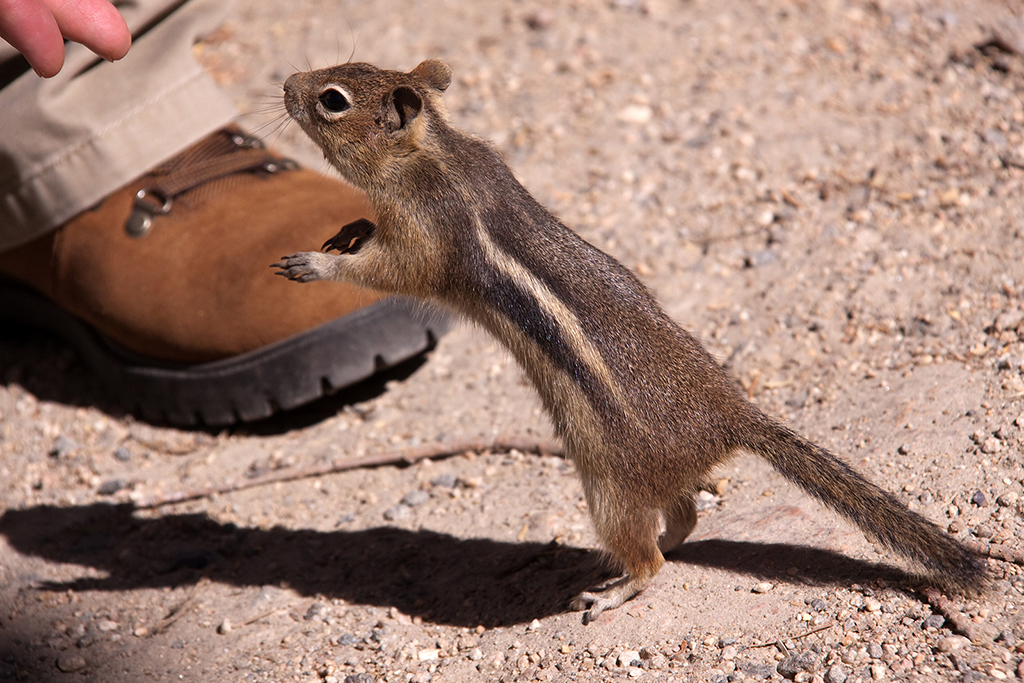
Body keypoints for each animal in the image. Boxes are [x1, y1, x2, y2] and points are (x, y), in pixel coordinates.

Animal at [274, 60, 983, 626]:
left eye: (332, 98)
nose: (286, 83)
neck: (432, 153)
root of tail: (733, 415)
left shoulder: (426, 235)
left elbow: (389, 273)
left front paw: (319, 263)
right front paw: (348, 229)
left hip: (609, 486)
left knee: (648, 558)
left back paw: (619, 587)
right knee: (688, 515)